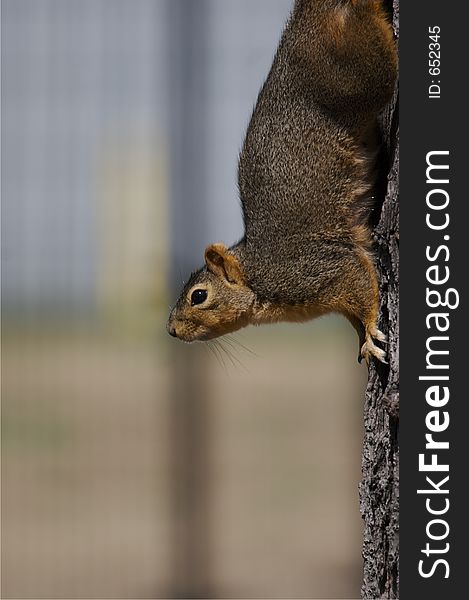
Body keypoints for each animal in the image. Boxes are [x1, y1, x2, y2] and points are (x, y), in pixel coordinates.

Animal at [166, 0, 396, 364]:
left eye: (198, 296)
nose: (171, 330)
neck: (256, 274)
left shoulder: (317, 268)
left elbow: (360, 283)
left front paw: (372, 331)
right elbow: (356, 307)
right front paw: (361, 337)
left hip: (361, 71)